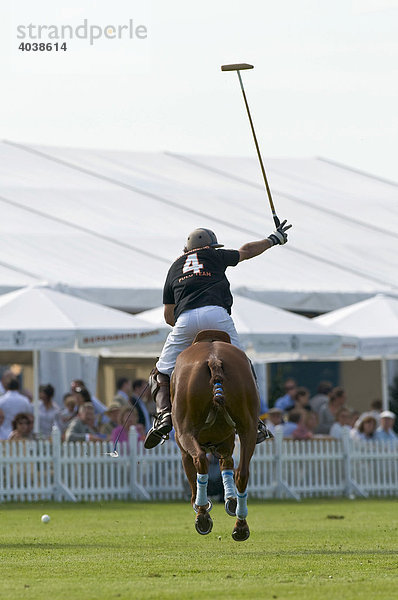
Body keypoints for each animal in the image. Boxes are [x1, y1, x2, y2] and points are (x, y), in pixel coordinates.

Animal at [171, 330, 258, 540]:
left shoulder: (184, 447)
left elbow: (193, 474)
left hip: (185, 431)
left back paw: (202, 515)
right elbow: (227, 464)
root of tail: (213, 359)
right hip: (248, 428)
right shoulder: (227, 442)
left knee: (200, 460)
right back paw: (240, 526)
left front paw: (201, 504)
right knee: (242, 472)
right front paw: (231, 501)